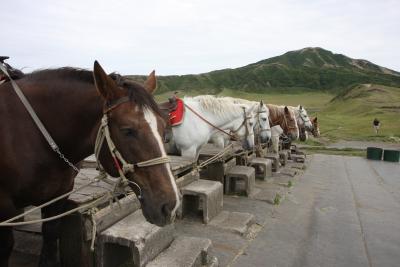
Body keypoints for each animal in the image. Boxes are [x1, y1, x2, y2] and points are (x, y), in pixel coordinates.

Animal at [0, 61, 178, 267]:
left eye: (164, 127)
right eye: (127, 130)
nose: (170, 205)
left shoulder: (58, 197)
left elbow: (50, 239)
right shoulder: (4, 206)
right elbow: (6, 246)